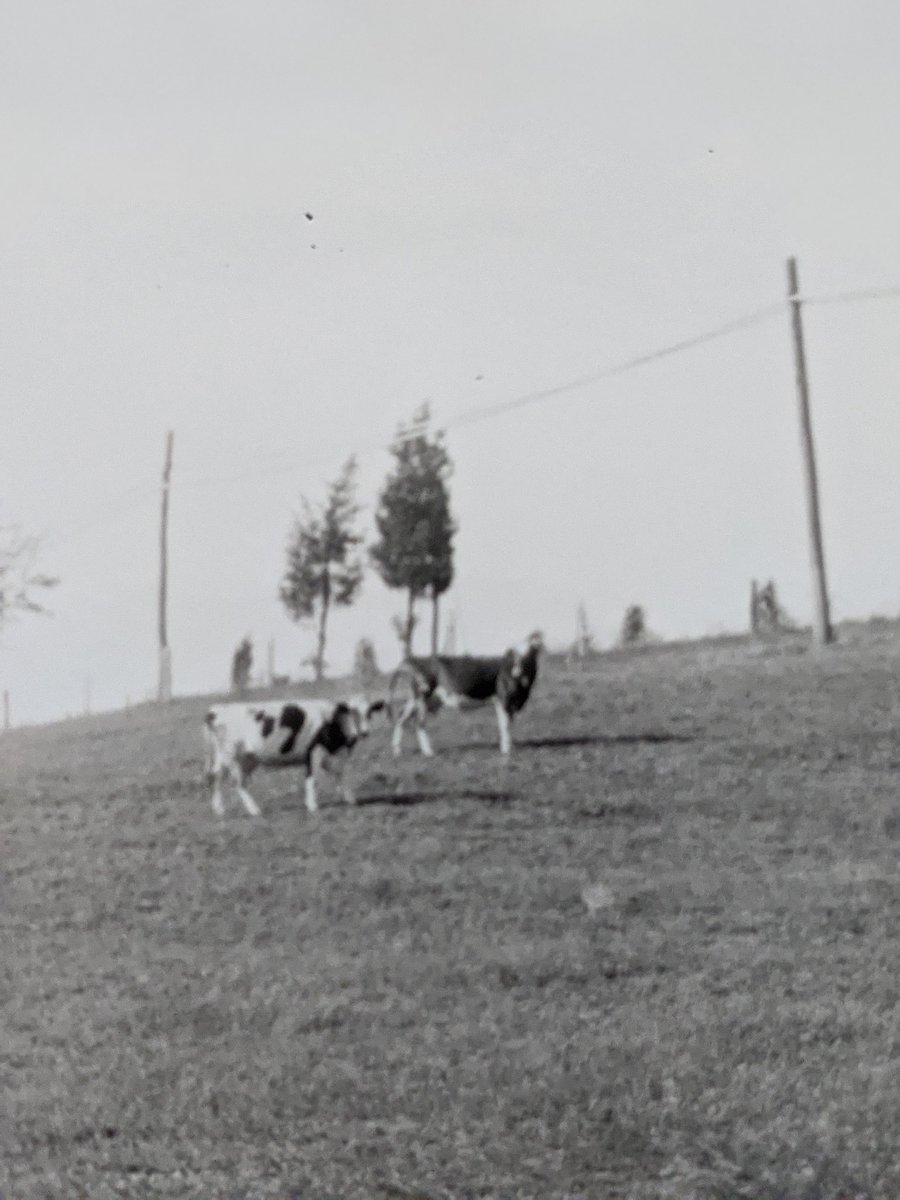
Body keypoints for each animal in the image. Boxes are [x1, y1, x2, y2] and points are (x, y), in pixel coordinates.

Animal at [202, 696, 386, 816]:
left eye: (369, 713)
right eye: (351, 712)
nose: (363, 733)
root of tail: (215, 710)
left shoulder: (335, 756)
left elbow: (341, 775)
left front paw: (350, 800)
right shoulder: (313, 751)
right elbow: (313, 779)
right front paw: (312, 806)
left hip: (242, 758)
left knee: (217, 777)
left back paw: (219, 809)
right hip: (231, 755)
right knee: (237, 783)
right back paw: (254, 810)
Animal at [388, 633, 542, 753]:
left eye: (530, 653)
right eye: (514, 656)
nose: (517, 671)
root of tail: (414, 659)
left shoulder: (505, 701)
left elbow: (506, 723)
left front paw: (509, 746)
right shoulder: (503, 698)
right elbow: (505, 724)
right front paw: (506, 751)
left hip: (416, 698)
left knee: (401, 718)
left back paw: (397, 750)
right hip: (423, 696)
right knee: (419, 723)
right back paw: (428, 752)